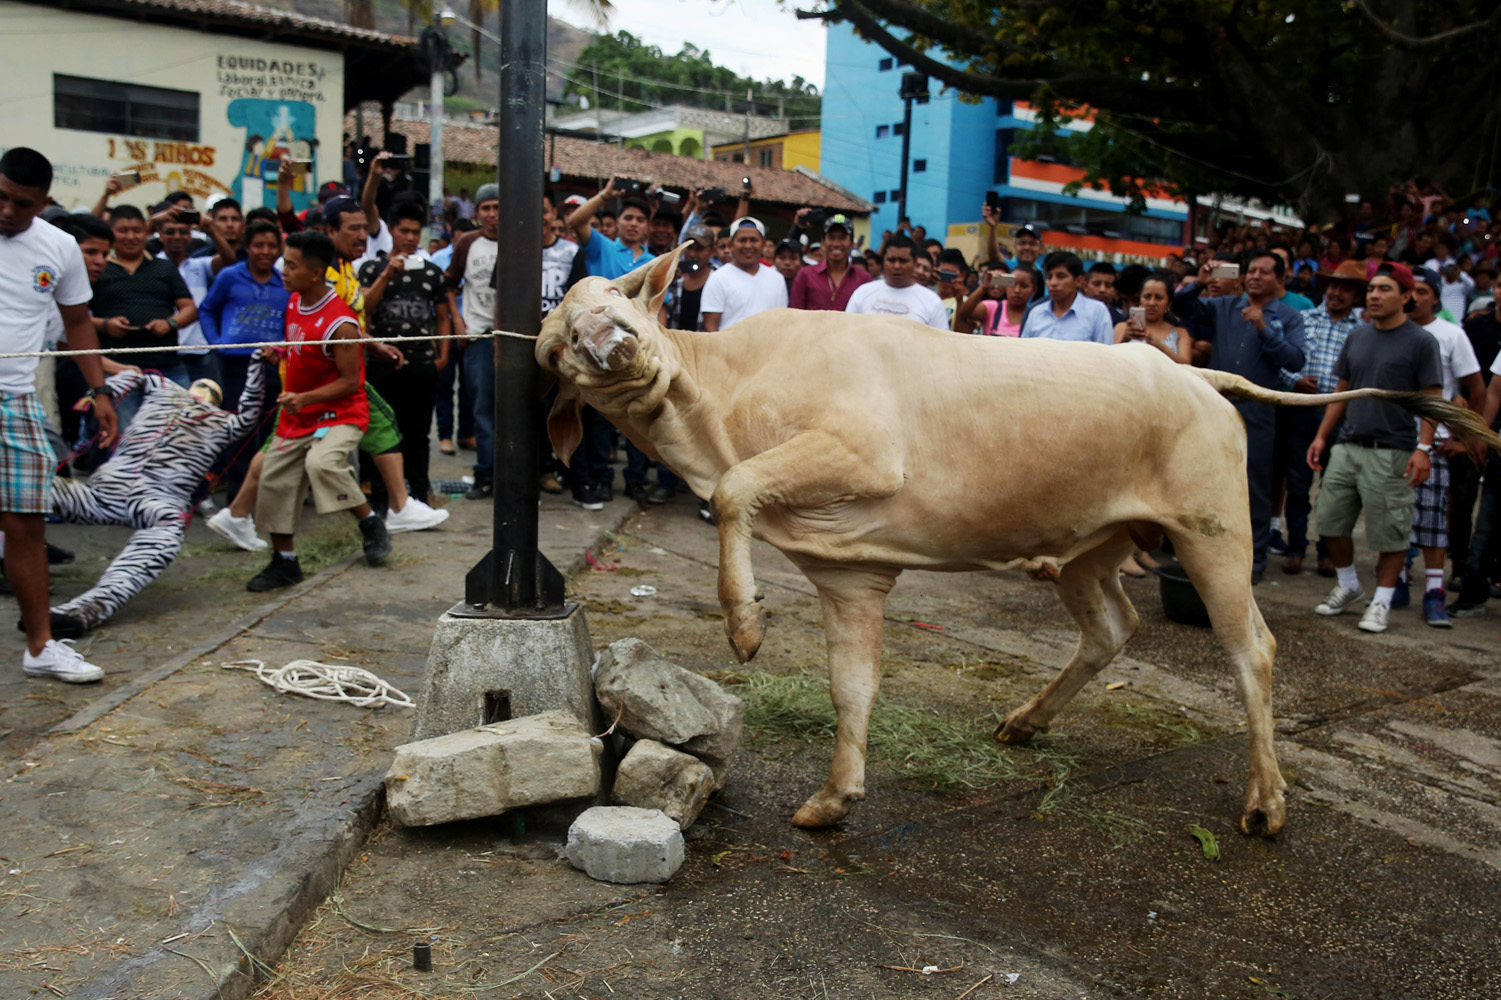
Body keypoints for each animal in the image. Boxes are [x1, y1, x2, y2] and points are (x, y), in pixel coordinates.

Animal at [540, 247, 1501, 834]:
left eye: (619, 296)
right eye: (556, 346)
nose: (615, 345)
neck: (717, 407)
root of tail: (1191, 372)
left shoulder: (860, 450)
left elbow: (739, 490)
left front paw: (742, 624)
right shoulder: (850, 575)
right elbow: (852, 687)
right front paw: (832, 797)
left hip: (1215, 528)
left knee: (1250, 648)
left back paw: (1265, 801)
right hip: (1093, 542)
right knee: (1111, 627)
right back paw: (1026, 721)